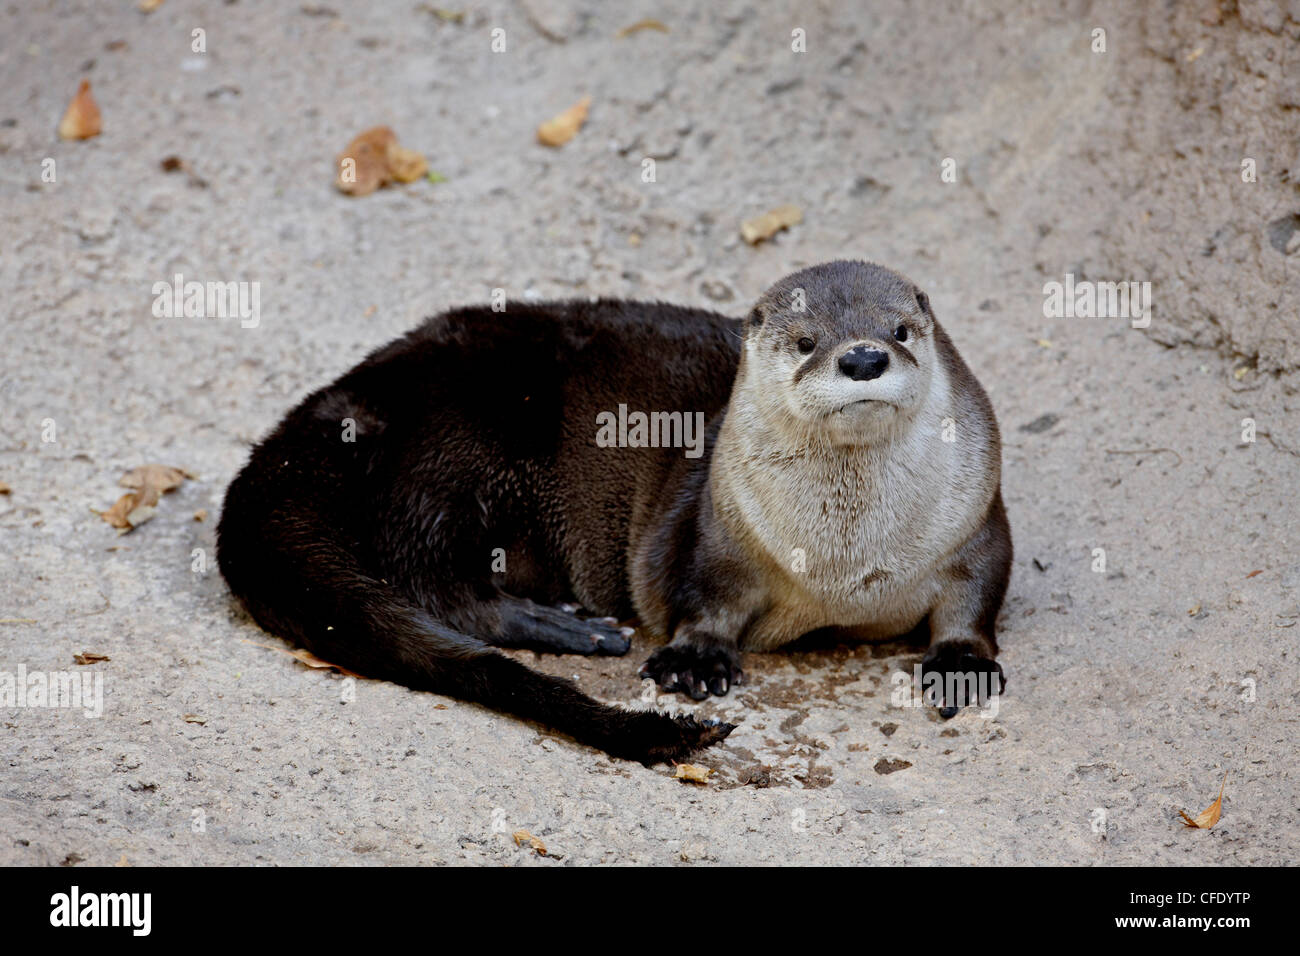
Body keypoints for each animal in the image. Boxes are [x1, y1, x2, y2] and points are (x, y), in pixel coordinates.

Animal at [217, 260, 1011, 764]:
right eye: (805, 342)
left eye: (902, 329)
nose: (864, 357)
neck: (844, 569)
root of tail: (351, 394)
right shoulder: (716, 531)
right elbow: (702, 594)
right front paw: (695, 659)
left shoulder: (977, 523)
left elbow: (978, 595)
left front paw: (961, 663)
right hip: (459, 448)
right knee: (433, 577)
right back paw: (572, 626)